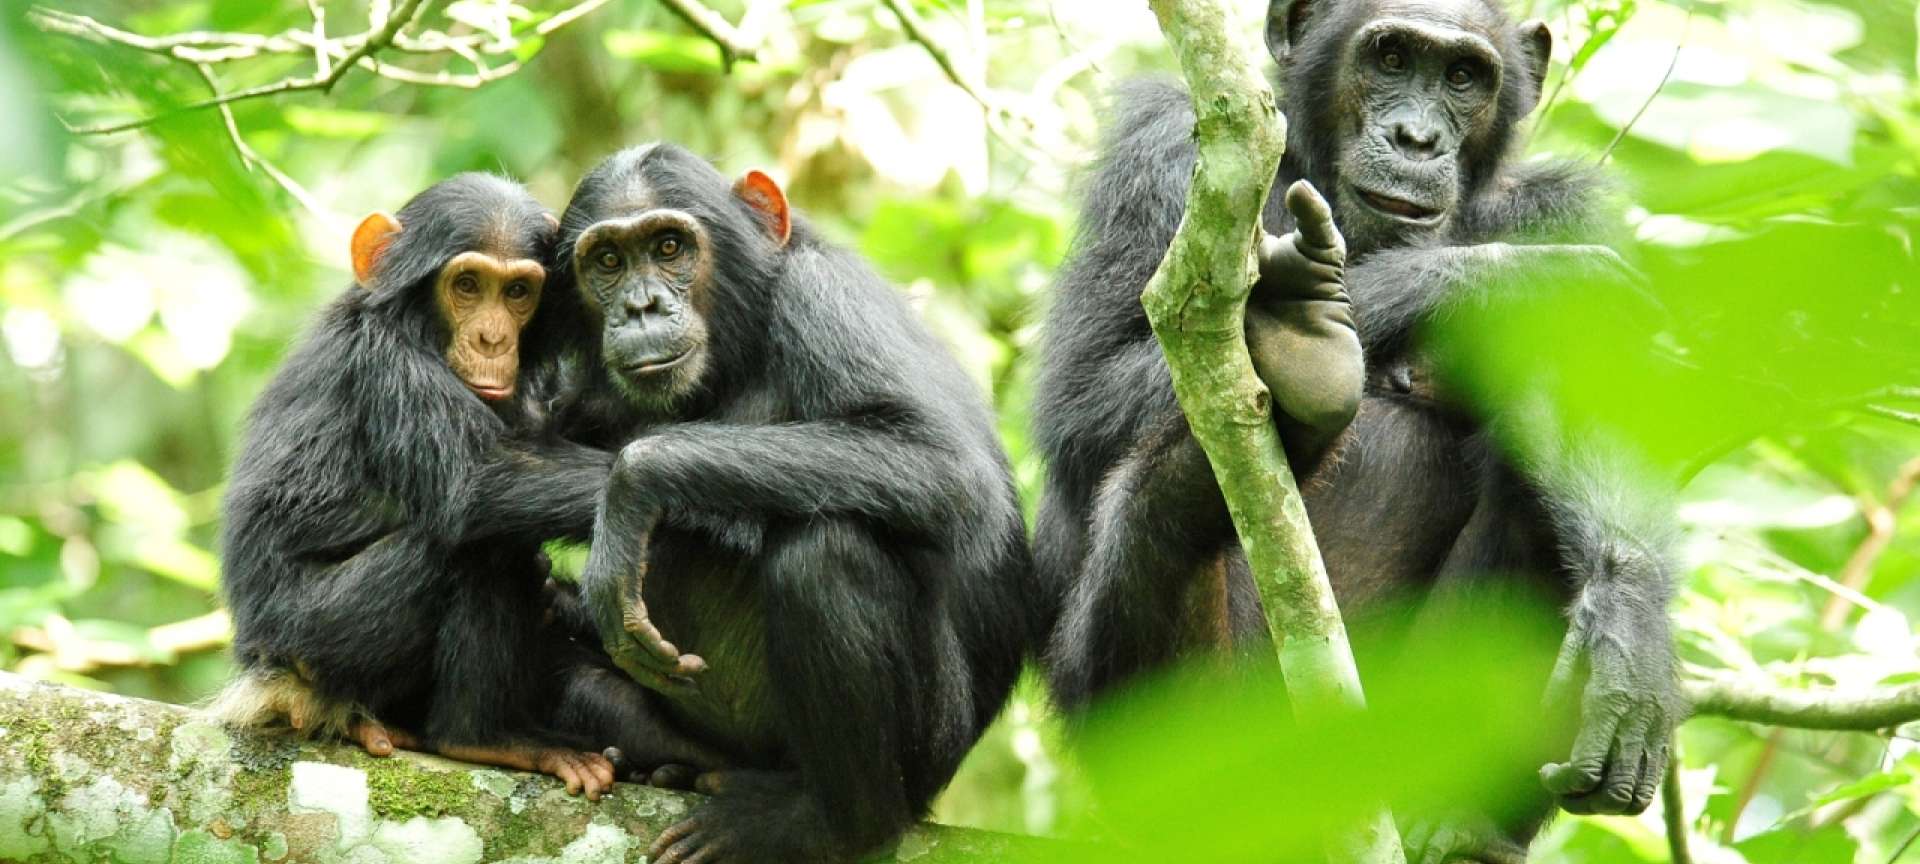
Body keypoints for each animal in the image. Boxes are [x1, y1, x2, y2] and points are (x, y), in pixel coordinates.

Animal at [217, 171, 721, 798]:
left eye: (517, 292)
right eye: (467, 285)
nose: (490, 339)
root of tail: (268, 675)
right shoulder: (388, 364)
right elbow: (476, 480)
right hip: (314, 637)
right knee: (482, 543)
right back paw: (485, 738)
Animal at [552, 146, 1036, 864]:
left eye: (669, 247)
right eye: (608, 261)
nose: (641, 306)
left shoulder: (827, 299)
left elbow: (942, 460)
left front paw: (633, 486)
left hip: (928, 750)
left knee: (824, 553)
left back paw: (819, 824)